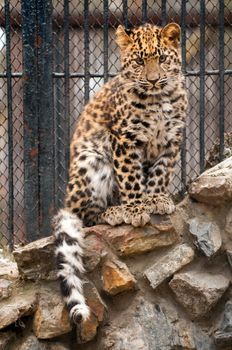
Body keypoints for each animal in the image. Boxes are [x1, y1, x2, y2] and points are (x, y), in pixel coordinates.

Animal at [53, 22, 188, 326]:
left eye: (161, 59)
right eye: (139, 61)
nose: (153, 80)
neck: (158, 99)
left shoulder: (172, 139)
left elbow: (160, 173)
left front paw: (157, 199)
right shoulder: (124, 139)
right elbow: (131, 177)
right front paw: (136, 209)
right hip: (91, 162)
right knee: (86, 217)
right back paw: (114, 211)